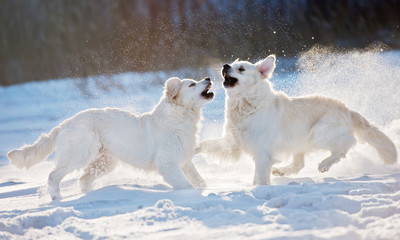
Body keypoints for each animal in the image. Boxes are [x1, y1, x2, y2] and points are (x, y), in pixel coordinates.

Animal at [7, 77, 214, 201]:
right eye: (192, 85)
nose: (208, 78)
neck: (178, 118)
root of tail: (67, 122)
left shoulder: (185, 161)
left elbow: (199, 180)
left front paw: (206, 188)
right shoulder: (168, 164)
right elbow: (185, 184)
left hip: (106, 161)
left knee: (83, 179)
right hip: (78, 154)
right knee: (53, 175)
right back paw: (57, 198)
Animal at [198, 55, 396, 185]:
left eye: (241, 69)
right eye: (231, 64)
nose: (225, 65)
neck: (245, 104)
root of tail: (347, 109)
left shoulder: (262, 152)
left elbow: (260, 177)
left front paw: (259, 189)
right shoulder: (234, 142)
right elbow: (208, 144)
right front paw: (196, 148)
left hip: (318, 134)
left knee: (347, 145)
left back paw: (324, 165)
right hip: (299, 141)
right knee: (299, 163)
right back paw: (282, 170)